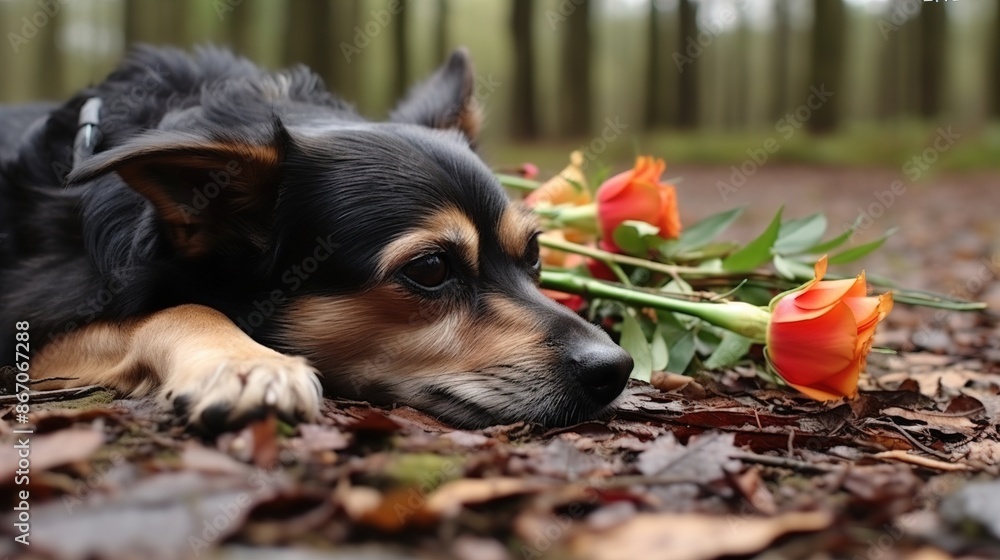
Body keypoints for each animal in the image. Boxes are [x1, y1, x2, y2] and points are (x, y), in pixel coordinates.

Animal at [0, 47, 628, 434]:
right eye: (429, 269)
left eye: (535, 253)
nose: (616, 368)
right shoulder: (30, 325)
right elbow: (178, 307)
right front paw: (246, 362)